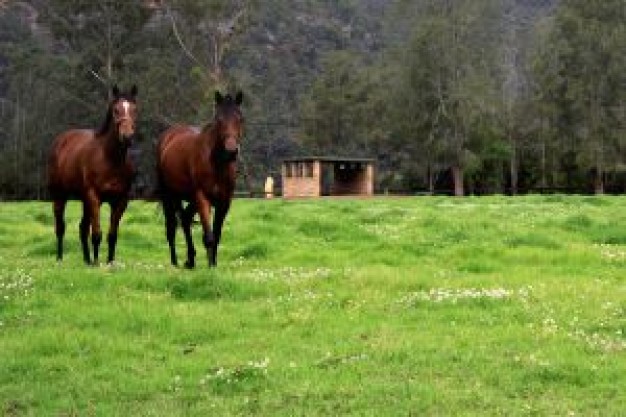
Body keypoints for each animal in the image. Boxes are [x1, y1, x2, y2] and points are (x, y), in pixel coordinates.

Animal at [46, 85, 139, 264]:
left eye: (134, 109)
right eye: (116, 110)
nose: (127, 137)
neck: (111, 160)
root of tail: (61, 140)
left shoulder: (121, 200)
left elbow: (112, 235)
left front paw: (109, 262)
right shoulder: (94, 197)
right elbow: (96, 234)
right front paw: (97, 263)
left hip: (84, 201)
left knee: (82, 228)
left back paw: (87, 260)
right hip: (60, 196)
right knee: (60, 227)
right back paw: (60, 258)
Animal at [156, 90, 244, 268]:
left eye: (240, 118)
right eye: (219, 119)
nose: (231, 151)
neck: (217, 164)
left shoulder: (224, 202)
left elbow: (217, 234)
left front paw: (214, 264)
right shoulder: (203, 197)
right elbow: (209, 236)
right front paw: (210, 267)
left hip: (189, 198)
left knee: (185, 219)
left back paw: (190, 260)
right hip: (170, 195)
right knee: (171, 227)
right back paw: (175, 262)